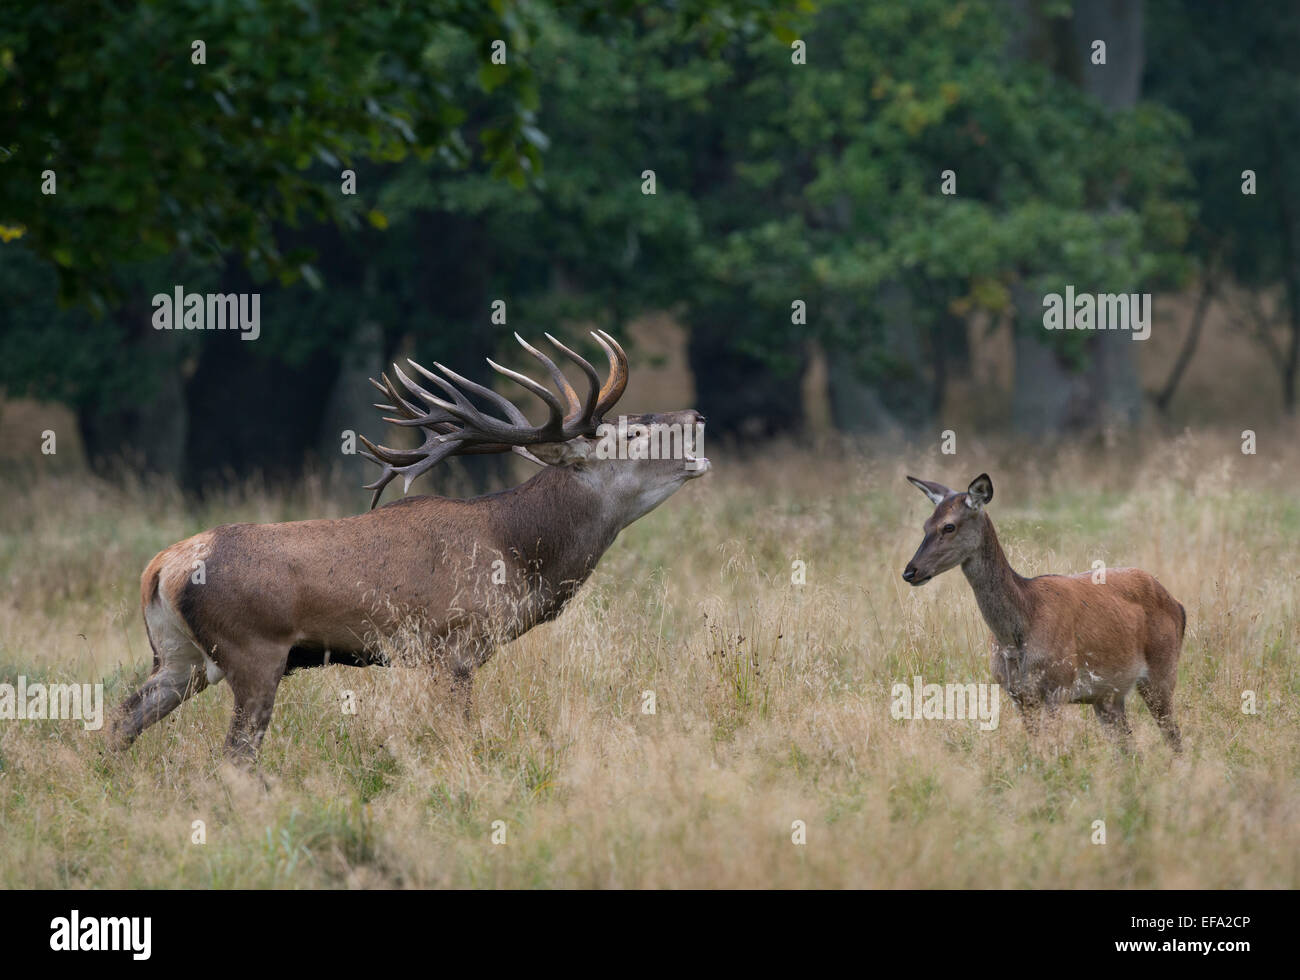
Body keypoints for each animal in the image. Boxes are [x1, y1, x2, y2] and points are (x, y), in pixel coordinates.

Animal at [110, 332, 712, 759]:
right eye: (631, 433)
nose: (697, 414)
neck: (519, 555)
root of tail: (160, 569)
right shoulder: (453, 647)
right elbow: (462, 737)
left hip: (179, 656)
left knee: (121, 719)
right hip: (254, 650)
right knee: (235, 754)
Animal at [899, 473, 1185, 748]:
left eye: (949, 526)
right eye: (925, 525)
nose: (910, 571)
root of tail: (1178, 606)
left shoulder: (1058, 685)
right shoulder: (1018, 694)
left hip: (1162, 671)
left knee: (1174, 737)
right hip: (1108, 695)